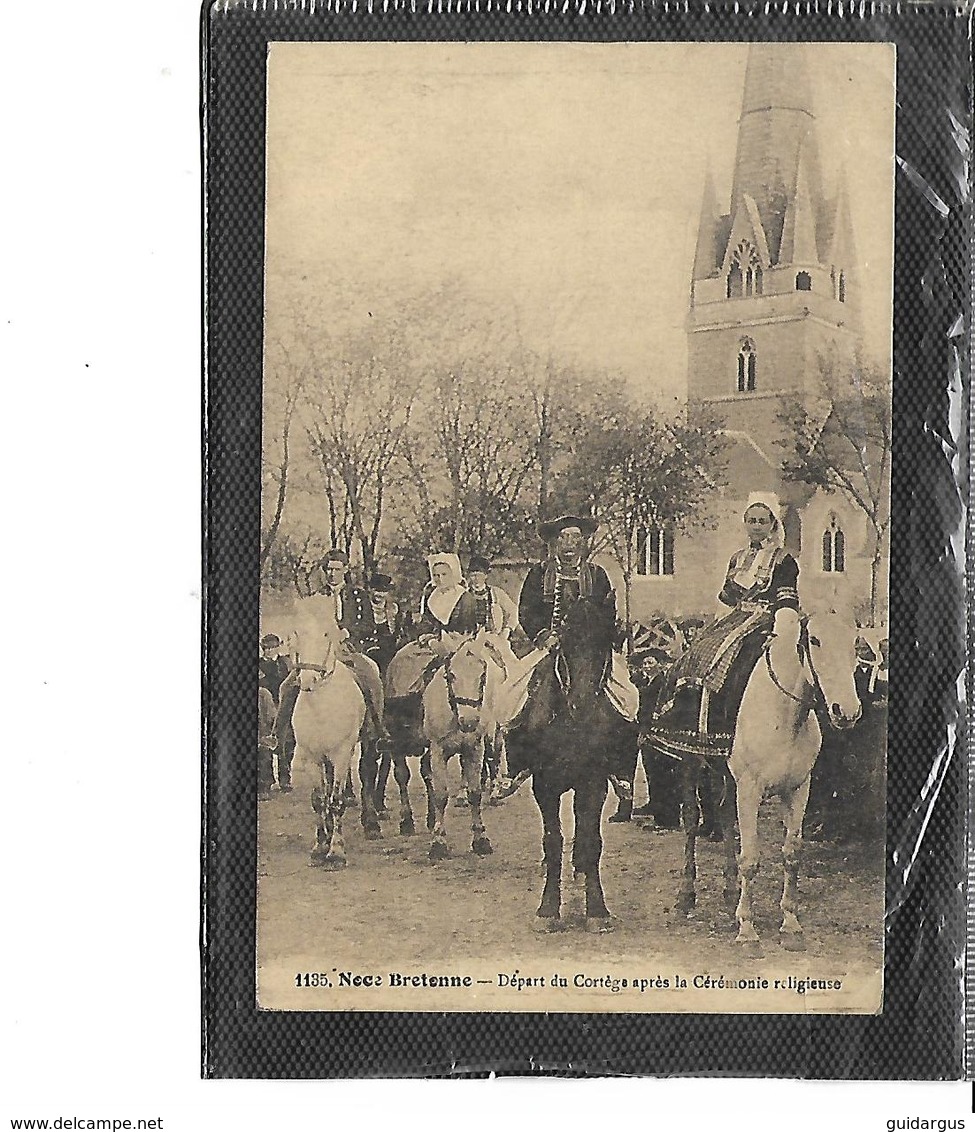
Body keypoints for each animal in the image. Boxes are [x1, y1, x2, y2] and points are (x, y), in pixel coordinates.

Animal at [288, 597, 369, 869]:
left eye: (326, 634)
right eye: (298, 633)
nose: (308, 680)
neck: (321, 708)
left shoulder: (342, 754)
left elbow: (335, 801)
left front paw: (336, 851)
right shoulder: (312, 757)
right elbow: (319, 801)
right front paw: (319, 847)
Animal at [505, 602, 634, 928]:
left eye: (604, 646)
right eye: (567, 647)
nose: (582, 704)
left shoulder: (594, 783)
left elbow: (591, 840)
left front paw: (596, 908)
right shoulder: (545, 786)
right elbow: (552, 841)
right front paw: (548, 908)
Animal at [729, 611, 860, 955]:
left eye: (855, 640)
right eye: (814, 640)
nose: (847, 711)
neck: (784, 715)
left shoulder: (799, 789)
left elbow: (792, 854)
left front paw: (790, 924)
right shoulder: (747, 790)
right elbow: (750, 859)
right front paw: (747, 930)